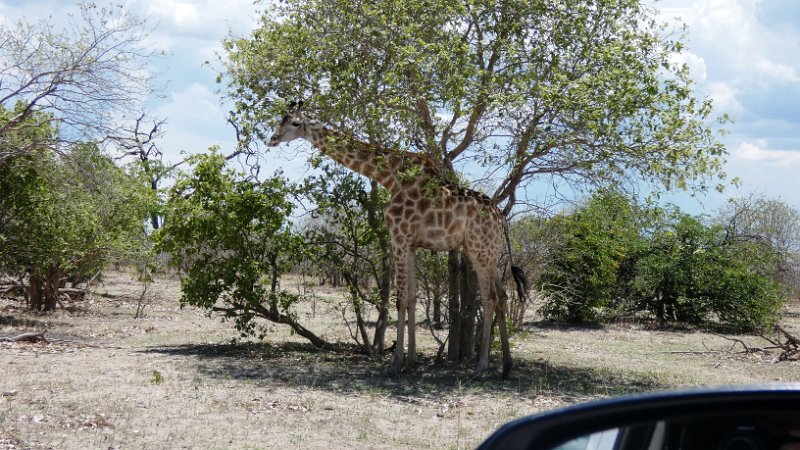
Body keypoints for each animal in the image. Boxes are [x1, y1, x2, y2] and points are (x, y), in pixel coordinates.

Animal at [268, 103, 520, 378]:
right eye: (281, 119)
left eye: (294, 123)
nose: (272, 139)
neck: (389, 177)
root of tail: (501, 218)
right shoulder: (410, 244)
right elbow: (411, 299)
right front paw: (411, 361)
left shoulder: (399, 238)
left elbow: (399, 299)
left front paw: (397, 362)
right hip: (491, 252)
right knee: (502, 295)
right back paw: (506, 366)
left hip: (478, 250)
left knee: (490, 297)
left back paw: (481, 367)